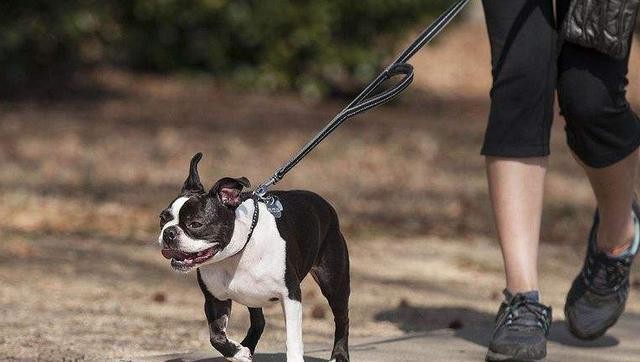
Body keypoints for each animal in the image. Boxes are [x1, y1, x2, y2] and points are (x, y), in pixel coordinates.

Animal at [159, 153, 350, 362]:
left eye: (195, 224)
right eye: (162, 218)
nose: (168, 232)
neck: (236, 253)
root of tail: (324, 203)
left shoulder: (290, 296)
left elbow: (293, 339)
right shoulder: (214, 299)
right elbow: (216, 337)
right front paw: (237, 352)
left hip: (333, 283)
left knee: (342, 318)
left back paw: (340, 354)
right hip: (252, 296)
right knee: (259, 321)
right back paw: (246, 347)